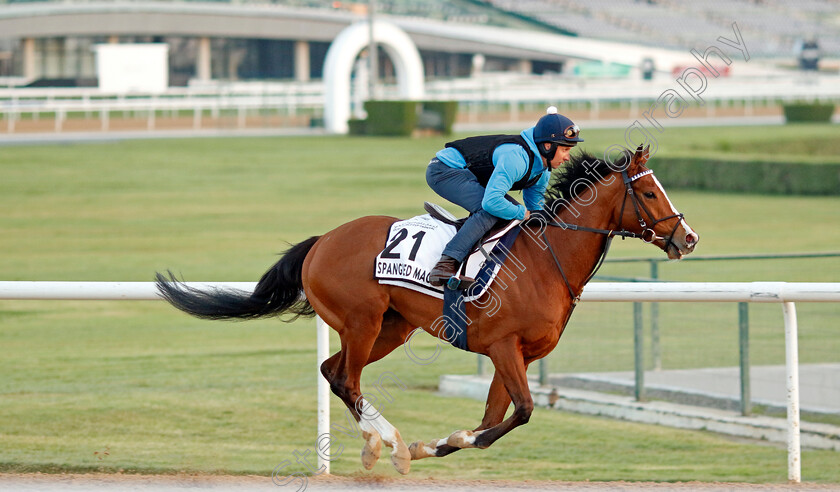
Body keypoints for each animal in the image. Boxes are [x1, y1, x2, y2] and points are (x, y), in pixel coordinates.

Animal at [156, 145, 696, 472]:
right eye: (650, 191)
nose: (688, 238)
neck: (549, 260)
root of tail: (322, 241)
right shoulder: (504, 346)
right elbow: (518, 413)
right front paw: (428, 445)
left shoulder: (513, 355)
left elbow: (491, 417)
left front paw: (437, 444)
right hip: (362, 321)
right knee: (346, 378)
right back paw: (390, 444)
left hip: (391, 329)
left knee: (333, 372)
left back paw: (385, 442)